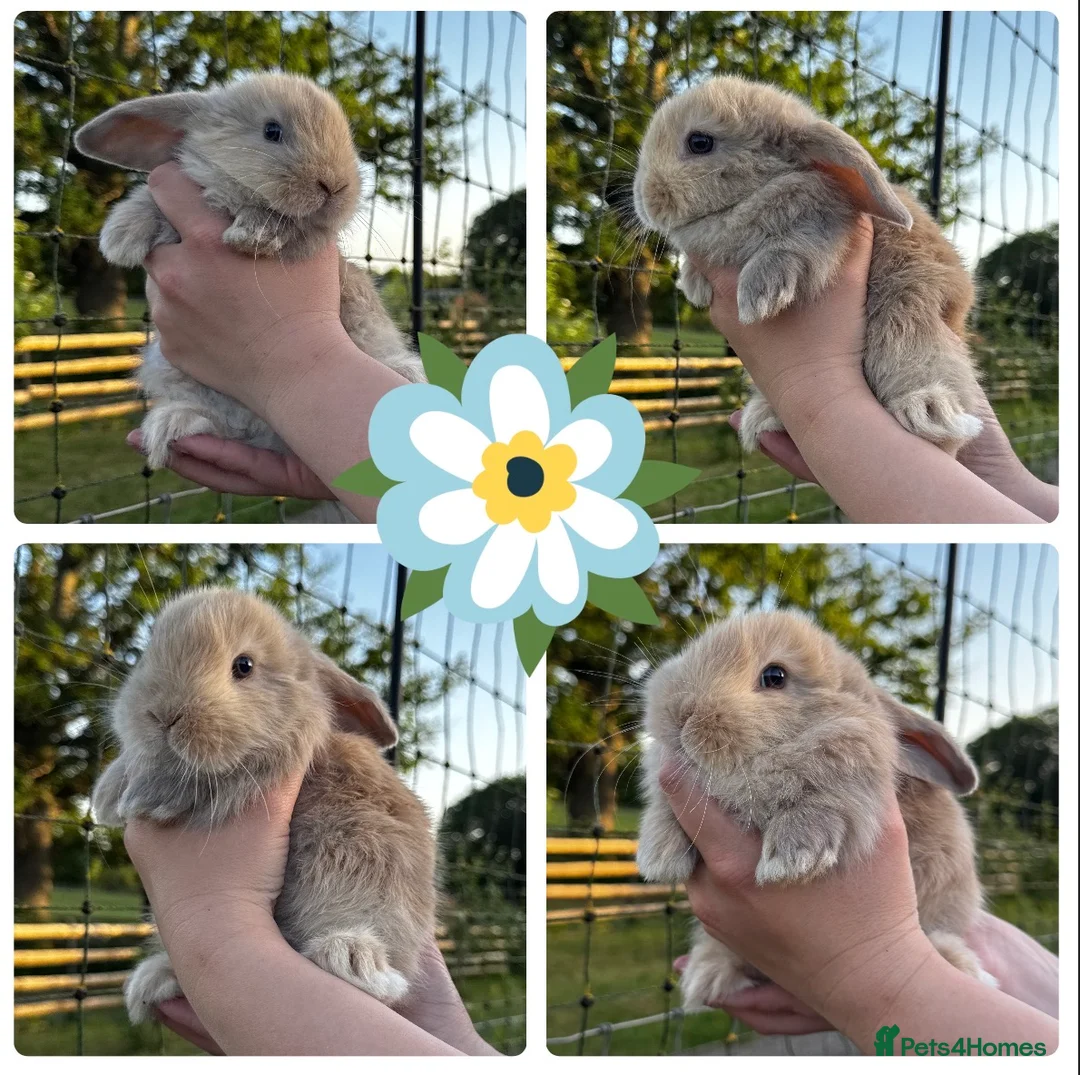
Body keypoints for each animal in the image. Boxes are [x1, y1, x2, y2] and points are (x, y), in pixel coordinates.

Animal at [74, 73, 425, 470]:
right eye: (272, 131)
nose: (336, 186)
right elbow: (150, 202)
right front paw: (119, 238)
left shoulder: (310, 238)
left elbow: (282, 223)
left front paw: (250, 235)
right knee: (217, 421)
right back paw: (171, 424)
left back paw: (404, 372)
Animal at [91, 588, 437, 1025]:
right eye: (148, 652)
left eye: (244, 666)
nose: (161, 715)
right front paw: (107, 795)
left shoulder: (272, 762)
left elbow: (211, 778)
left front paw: (146, 796)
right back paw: (152, 980)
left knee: (387, 981)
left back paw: (352, 958)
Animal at [633, 75, 983, 456]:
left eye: (700, 142)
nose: (645, 202)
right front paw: (694, 285)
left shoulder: (823, 222)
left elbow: (790, 248)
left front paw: (759, 298)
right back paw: (762, 417)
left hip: (910, 313)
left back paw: (928, 410)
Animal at [635, 609, 993, 1011]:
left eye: (775, 676)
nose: (679, 712)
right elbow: (663, 811)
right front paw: (658, 859)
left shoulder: (852, 772)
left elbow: (823, 799)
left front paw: (791, 861)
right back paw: (706, 977)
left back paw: (960, 965)